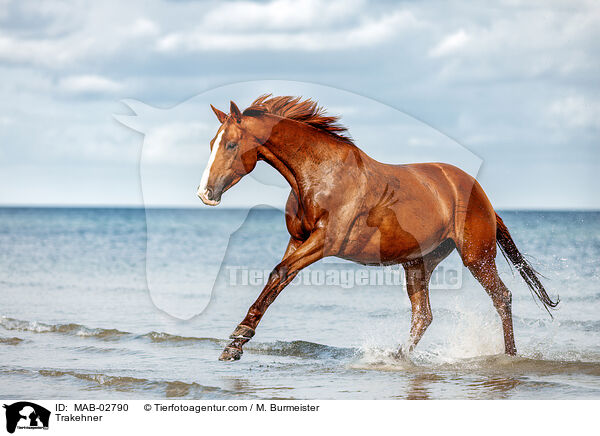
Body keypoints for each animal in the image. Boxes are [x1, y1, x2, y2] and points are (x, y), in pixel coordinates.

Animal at [198, 95, 556, 362]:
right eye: (212, 143)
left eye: (231, 145)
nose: (205, 193)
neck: (320, 175)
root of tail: (481, 194)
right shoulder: (298, 240)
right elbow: (277, 280)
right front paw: (235, 344)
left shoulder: (325, 242)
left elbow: (279, 273)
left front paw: (237, 337)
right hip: (418, 263)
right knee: (423, 315)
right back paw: (397, 356)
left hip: (476, 257)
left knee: (502, 298)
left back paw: (510, 356)